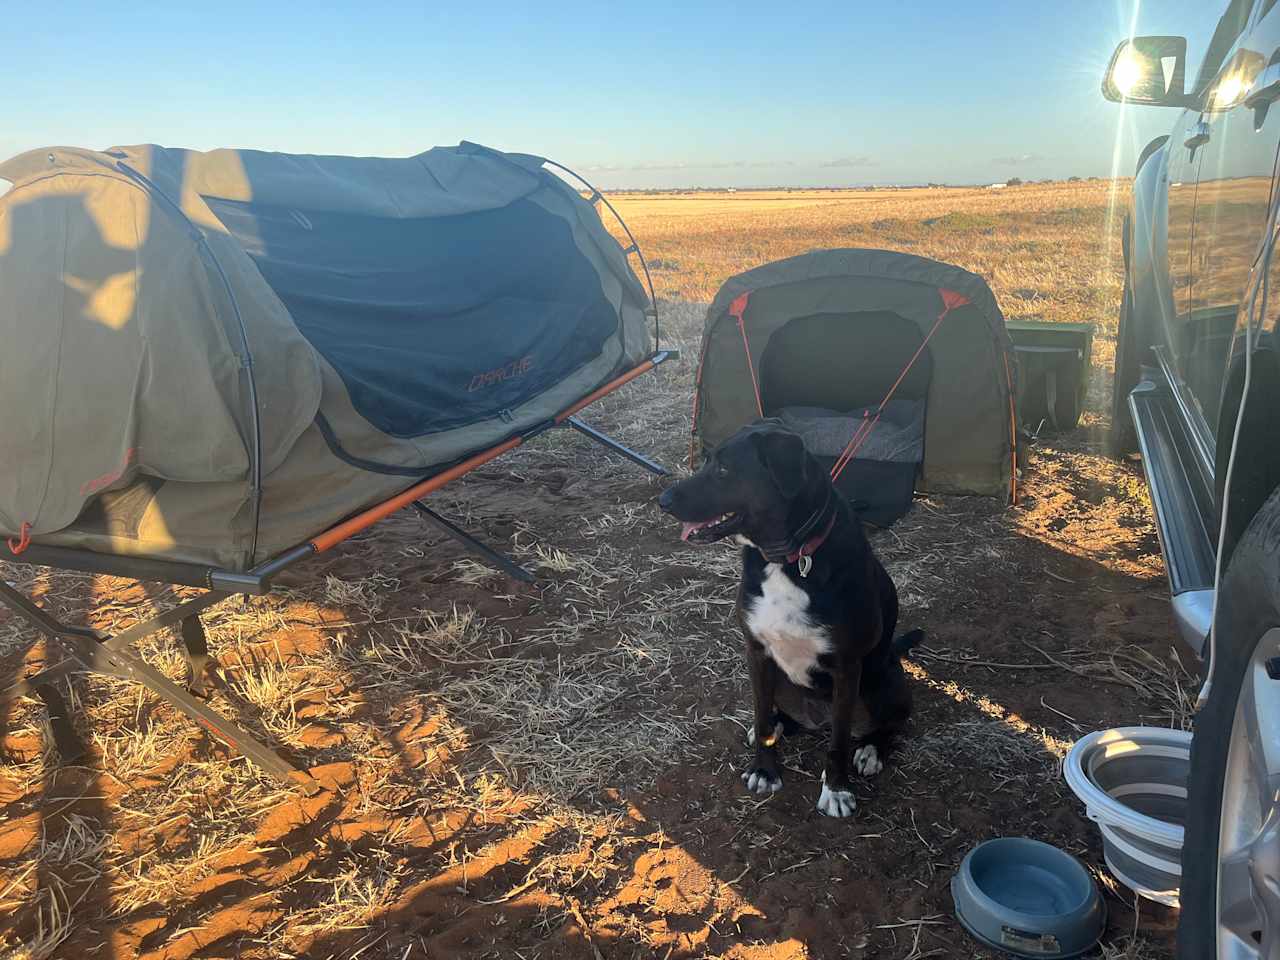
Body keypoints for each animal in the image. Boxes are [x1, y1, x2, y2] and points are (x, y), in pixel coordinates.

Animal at [660, 419, 921, 819]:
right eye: (706, 460)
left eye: (723, 469)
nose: (664, 500)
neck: (786, 559)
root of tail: (815, 718)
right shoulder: (757, 652)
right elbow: (761, 716)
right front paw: (764, 770)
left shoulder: (847, 666)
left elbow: (839, 740)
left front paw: (837, 790)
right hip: (783, 682)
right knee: (777, 714)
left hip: (884, 680)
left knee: (887, 723)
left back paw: (870, 750)